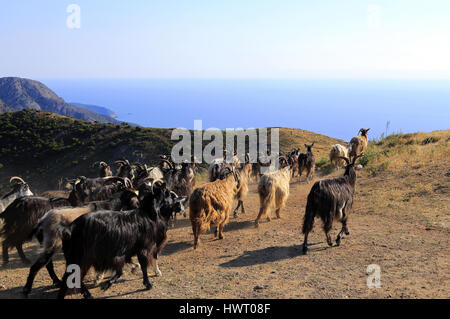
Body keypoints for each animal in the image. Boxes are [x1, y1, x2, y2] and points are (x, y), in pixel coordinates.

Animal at [56, 182, 186, 300]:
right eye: (169, 195)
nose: (182, 209)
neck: (149, 215)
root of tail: (70, 229)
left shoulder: (127, 252)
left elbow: (127, 268)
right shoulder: (140, 249)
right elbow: (141, 266)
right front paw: (148, 284)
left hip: (74, 257)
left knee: (70, 277)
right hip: (83, 257)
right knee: (75, 276)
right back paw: (88, 294)